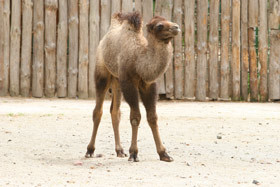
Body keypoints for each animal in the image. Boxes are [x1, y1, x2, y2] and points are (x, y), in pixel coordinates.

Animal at [85, 11, 180, 161]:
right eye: (159, 26)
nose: (176, 27)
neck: (139, 62)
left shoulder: (149, 85)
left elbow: (152, 117)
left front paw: (164, 154)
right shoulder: (129, 83)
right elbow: (135, 117)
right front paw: (134, 153)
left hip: (117, 80)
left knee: (115, 112)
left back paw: (119, 150)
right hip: (102, 74)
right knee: (97, 111)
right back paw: (90, 150)